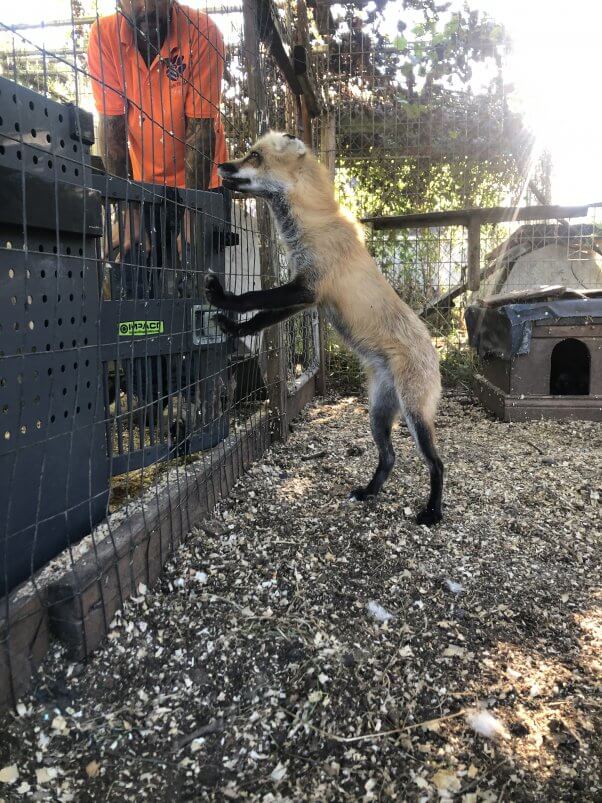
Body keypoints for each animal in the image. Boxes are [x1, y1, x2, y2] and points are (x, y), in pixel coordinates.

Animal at [204, 130, 442, 528]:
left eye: (254, 156)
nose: (220, 165)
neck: (312, 224)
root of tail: (434, 352)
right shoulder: (305, 299)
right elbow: (261, 317)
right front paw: (233, 327)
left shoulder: (309, 287)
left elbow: (253, 296)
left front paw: (223, 299)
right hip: (378, 414)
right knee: (390, 456)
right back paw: (369, 492)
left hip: (414, 416)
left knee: (436, 462)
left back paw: (434, 512)